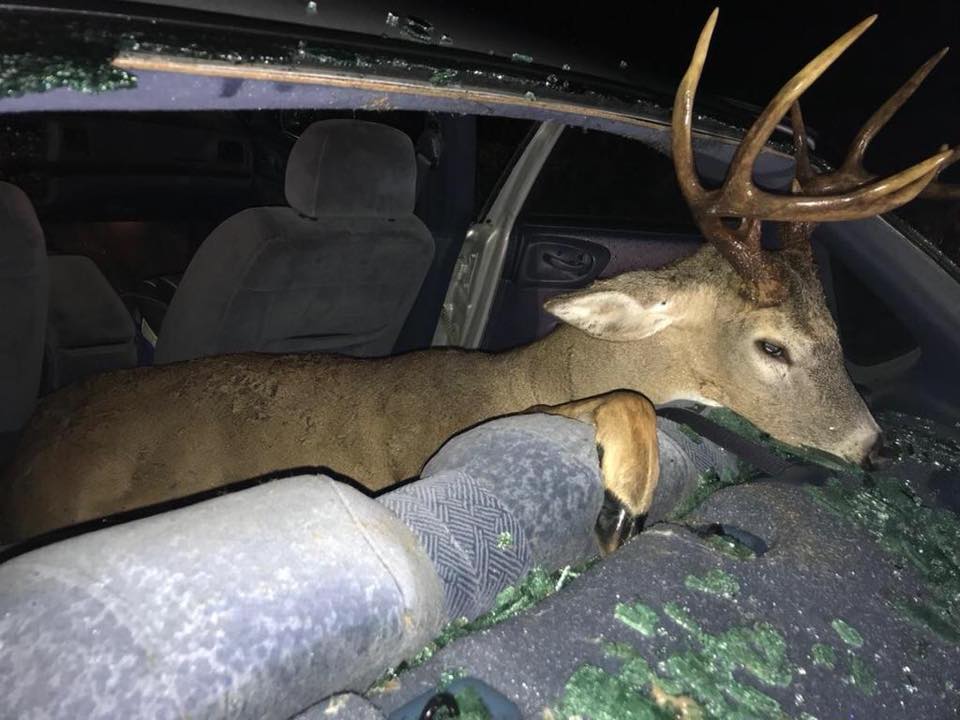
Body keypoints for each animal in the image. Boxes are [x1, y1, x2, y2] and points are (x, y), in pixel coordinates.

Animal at [1, 10, 956, 553]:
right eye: (772, 346)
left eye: (836, 326)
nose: (877, 446)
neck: (521, 376)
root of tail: (34, 436)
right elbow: (626, 402)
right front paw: (626, 490)